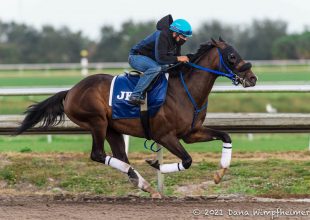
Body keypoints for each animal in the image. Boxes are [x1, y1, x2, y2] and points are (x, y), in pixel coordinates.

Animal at [15, 37, 256, 198]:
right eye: (232, 56)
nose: (252, 78)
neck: (184, 91)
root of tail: (71, 91)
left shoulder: (191, 133)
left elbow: (225, 136)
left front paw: (220, 173)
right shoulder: (164, 135)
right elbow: (187, 161)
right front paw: (157, 165)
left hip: (112, 129)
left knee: (121, 157)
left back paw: (145, 185)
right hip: (97, 122)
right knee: (98, 154)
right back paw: (145, 183)